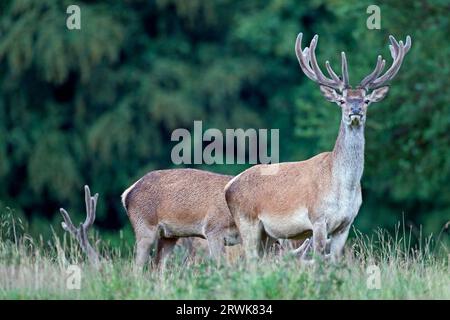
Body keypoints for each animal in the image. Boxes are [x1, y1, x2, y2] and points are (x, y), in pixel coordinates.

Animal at [225, 33, 412, 262]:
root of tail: (229, 186)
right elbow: (319, 259)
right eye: (342, 100)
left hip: (266, 234)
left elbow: (334, 260)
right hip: (247, 221)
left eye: (366, 100)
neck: (343, 186)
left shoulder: (345, 224)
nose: (355, 110)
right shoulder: (318, 218)